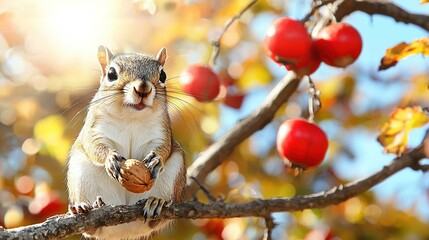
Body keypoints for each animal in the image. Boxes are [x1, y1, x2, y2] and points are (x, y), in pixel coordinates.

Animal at [66, 46, 186, 239]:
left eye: (163, 75)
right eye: (111, 74)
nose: (143, 89)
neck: (131, 117)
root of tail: (123, 230)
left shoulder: (162, 131)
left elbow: (165, 147)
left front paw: (156, 159)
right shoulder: (94, 128)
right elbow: (93, 144)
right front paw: (110, 158)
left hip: (174, 175)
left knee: (156, 221)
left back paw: (156, 202)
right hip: (80, 173)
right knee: (90, 228)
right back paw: (84, 208)